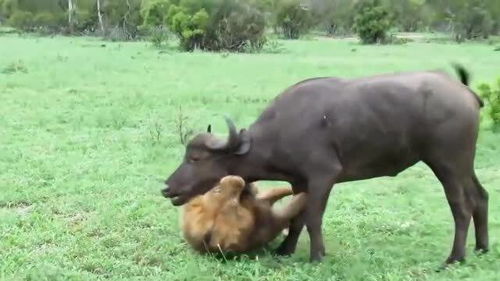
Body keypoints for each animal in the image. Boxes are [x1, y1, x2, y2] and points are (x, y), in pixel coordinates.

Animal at [163, 64, 488, 264]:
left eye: (196, 158)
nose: (167, 187)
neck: (282, 129)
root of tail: (466, 92)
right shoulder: (299, 182)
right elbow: (296, 219)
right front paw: (285, 249)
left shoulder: (323, 177)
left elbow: (313, 218)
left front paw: (317, 255)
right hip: (464, 166)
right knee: (480, 197)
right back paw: (482, 247)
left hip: (446, 164)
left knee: (461, 206)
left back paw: (455, 257)